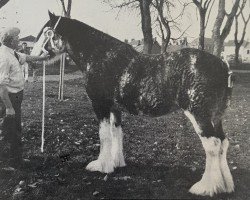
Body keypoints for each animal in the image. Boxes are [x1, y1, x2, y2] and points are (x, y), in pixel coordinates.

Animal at [31, 12, 234, 197]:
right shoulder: (115, 109)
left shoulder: (100, 105)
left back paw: (206, 187)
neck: (100, 55)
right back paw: (225, 185)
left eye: (47, 32)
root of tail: (223, 66)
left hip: (199, 115)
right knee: (223, 143)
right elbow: (116, 133)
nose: (33, 59)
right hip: (217, 116)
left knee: (213, 145)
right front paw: (116, 163)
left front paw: (101, 166)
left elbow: (104, 135)